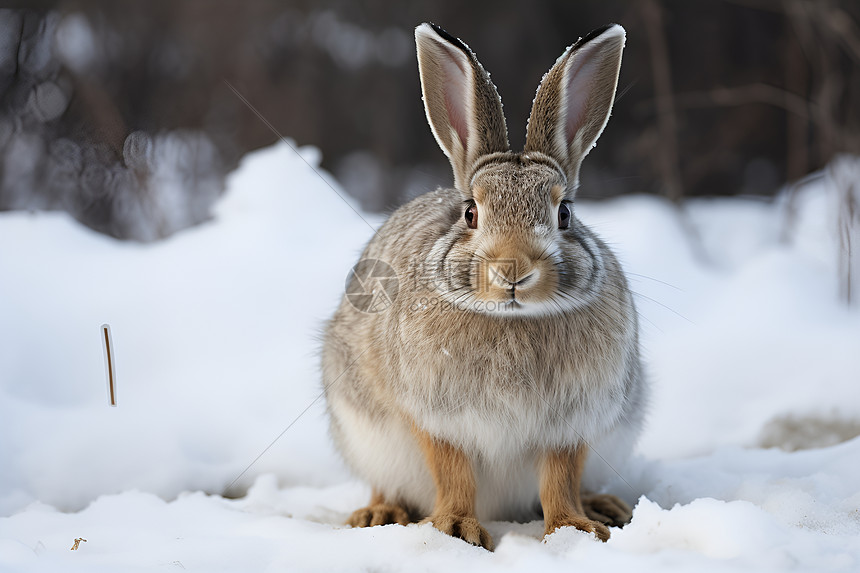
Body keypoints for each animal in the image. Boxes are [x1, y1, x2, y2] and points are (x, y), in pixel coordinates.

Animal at [322, 22, 644, 548]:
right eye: (470, 212)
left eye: (565, 214)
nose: (512, 270)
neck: (512, 320)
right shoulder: (438, 419)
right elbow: (453, 473)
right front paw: (454, 529)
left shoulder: (570, 425)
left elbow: (560, 477)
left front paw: (574, 529)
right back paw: (380, 513)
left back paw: (603, 506)